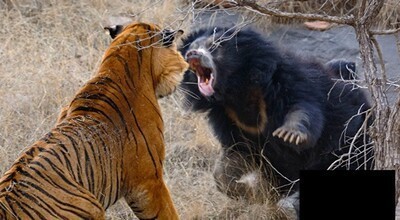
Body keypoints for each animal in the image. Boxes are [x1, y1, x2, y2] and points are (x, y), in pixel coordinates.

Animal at [180, 26, 374, 206]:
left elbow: (304, 109)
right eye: (192, 48)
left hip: (351, 145)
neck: (236, 91)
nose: (192, 54)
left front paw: (289, 134)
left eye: (214, 46)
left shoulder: (288, 81)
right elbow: (237, 153)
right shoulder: (228, 118)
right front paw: (248, 192)